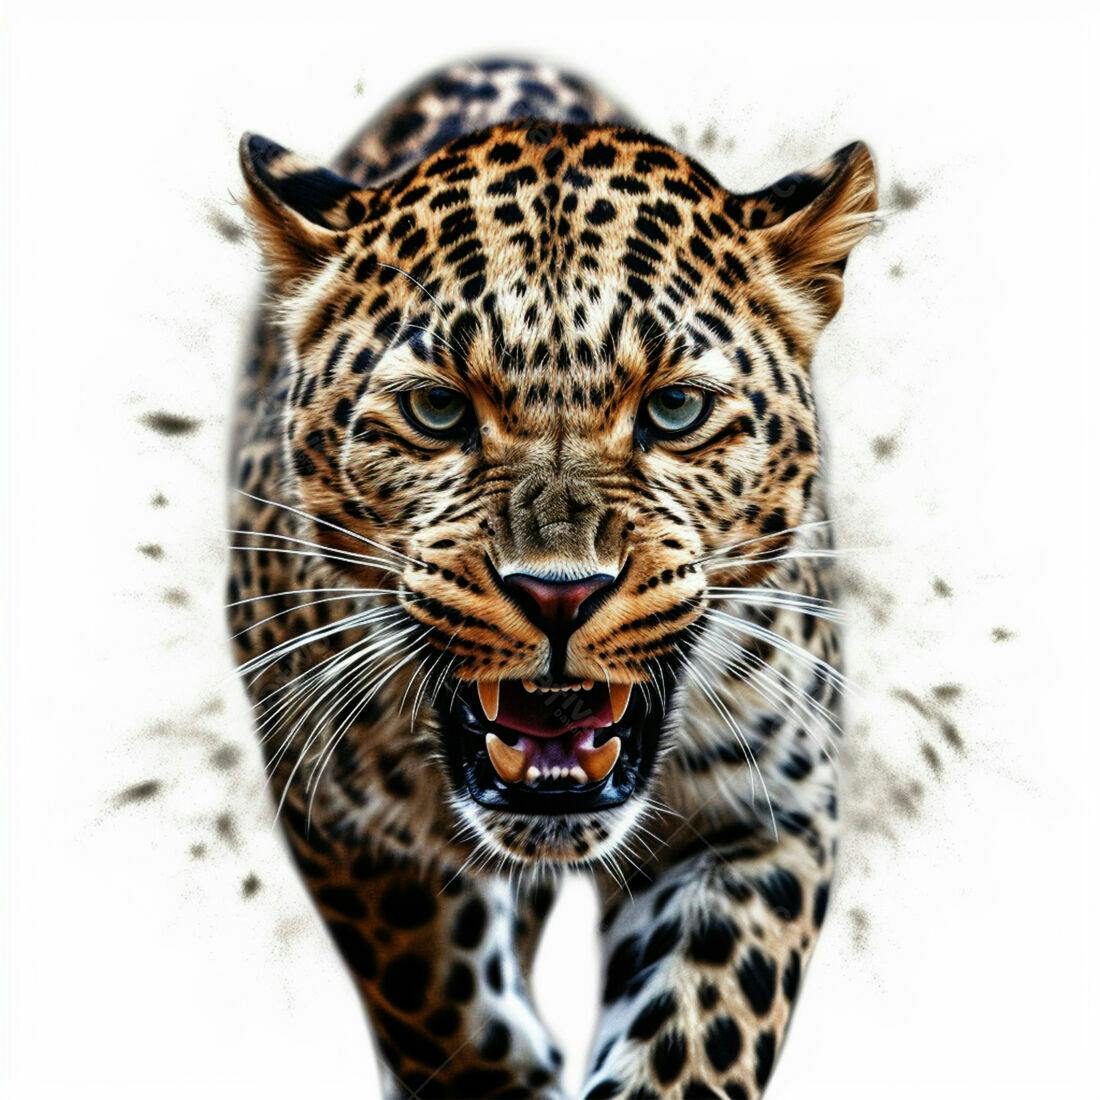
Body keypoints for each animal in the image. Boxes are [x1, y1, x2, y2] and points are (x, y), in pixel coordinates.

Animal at [228, 56, 876, 1099]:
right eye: (438, 410)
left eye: (677, 409)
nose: (559, 593)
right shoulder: (343, 817)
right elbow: (435, 1004)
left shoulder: (764, 814)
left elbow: (698, 1033)